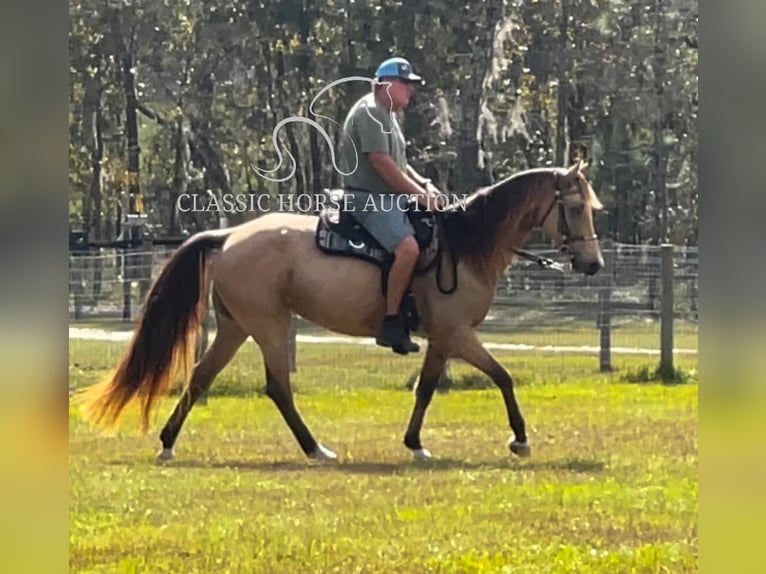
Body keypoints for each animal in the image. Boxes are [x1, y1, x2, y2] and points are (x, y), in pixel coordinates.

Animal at [78, 161, 608, 464]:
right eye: (573, 207)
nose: (593, 264)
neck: (463, 247)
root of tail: (227, 237)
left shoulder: (441, 338)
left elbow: (427, 388)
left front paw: (415, 443)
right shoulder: (457, 333)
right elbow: (503, 377)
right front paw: (519, 440)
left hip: (235, 327)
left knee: (200, 380)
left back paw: (168, 443)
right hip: (268, 325)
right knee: (277, 388)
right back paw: (316, 449)